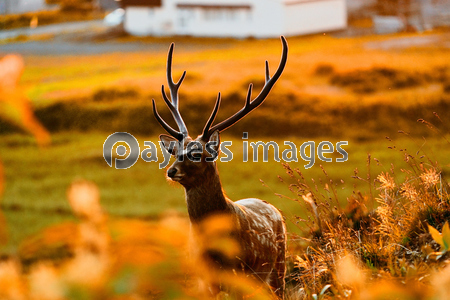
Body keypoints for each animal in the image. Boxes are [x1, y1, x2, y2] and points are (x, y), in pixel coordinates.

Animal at [152, 37, 288, 298]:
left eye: (197, 153)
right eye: (173, 151)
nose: (171, 171)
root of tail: (273, 207)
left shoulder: (239, 273)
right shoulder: (205, 278)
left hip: (278, 266)